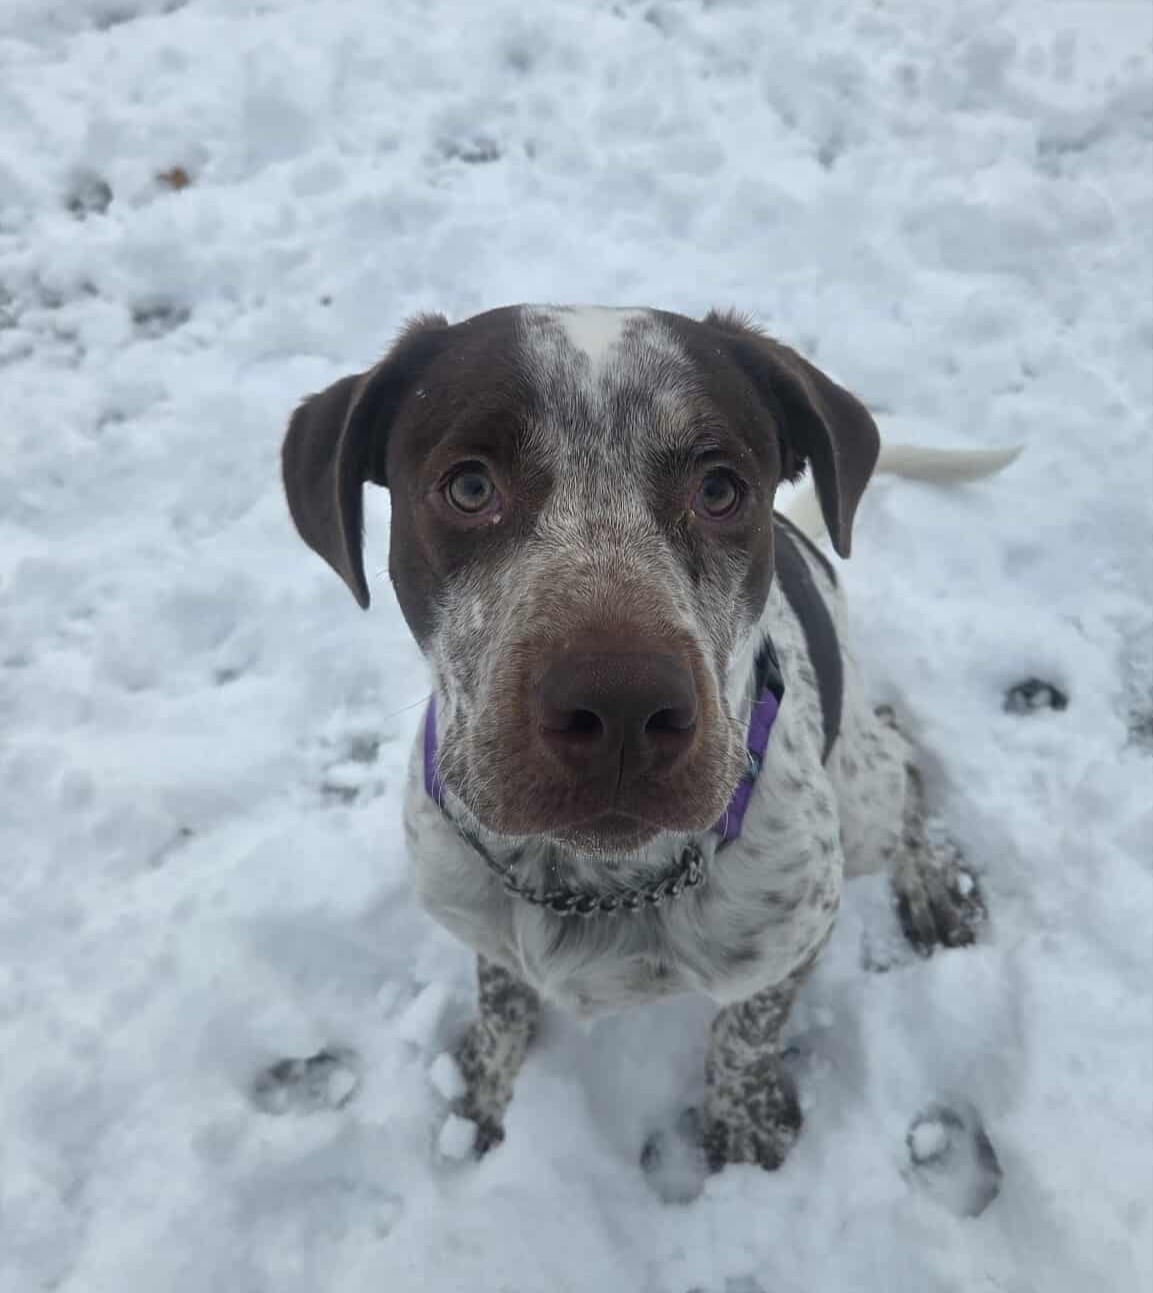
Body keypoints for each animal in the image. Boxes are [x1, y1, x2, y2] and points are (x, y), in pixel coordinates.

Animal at [281, 305, 1015, 1171]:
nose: (622, 710)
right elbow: (501, 1003)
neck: (593, 882)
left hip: (861, 802)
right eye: (468, 486)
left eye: (720, 489)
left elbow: (742, 1035)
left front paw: (740, 1125)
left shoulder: (795, 935)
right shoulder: (480, 924)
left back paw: (929, 879)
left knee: (900, 761)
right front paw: (485, 1089)